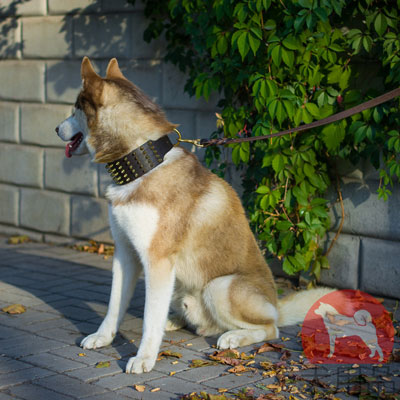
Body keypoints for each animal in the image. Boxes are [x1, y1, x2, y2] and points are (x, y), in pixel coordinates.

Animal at [54, 57, 332, 376]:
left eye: (75, 108)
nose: (55, 129)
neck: (143, 161)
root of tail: (276, 303)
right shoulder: (125, 253)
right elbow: (114, 304)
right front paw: (103, 337)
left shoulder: (157, 261)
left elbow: (149, 318)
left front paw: (144, 357)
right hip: (180, 284)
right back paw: (175, 321)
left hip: (219, 287)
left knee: (270, 328)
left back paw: (233, 336)